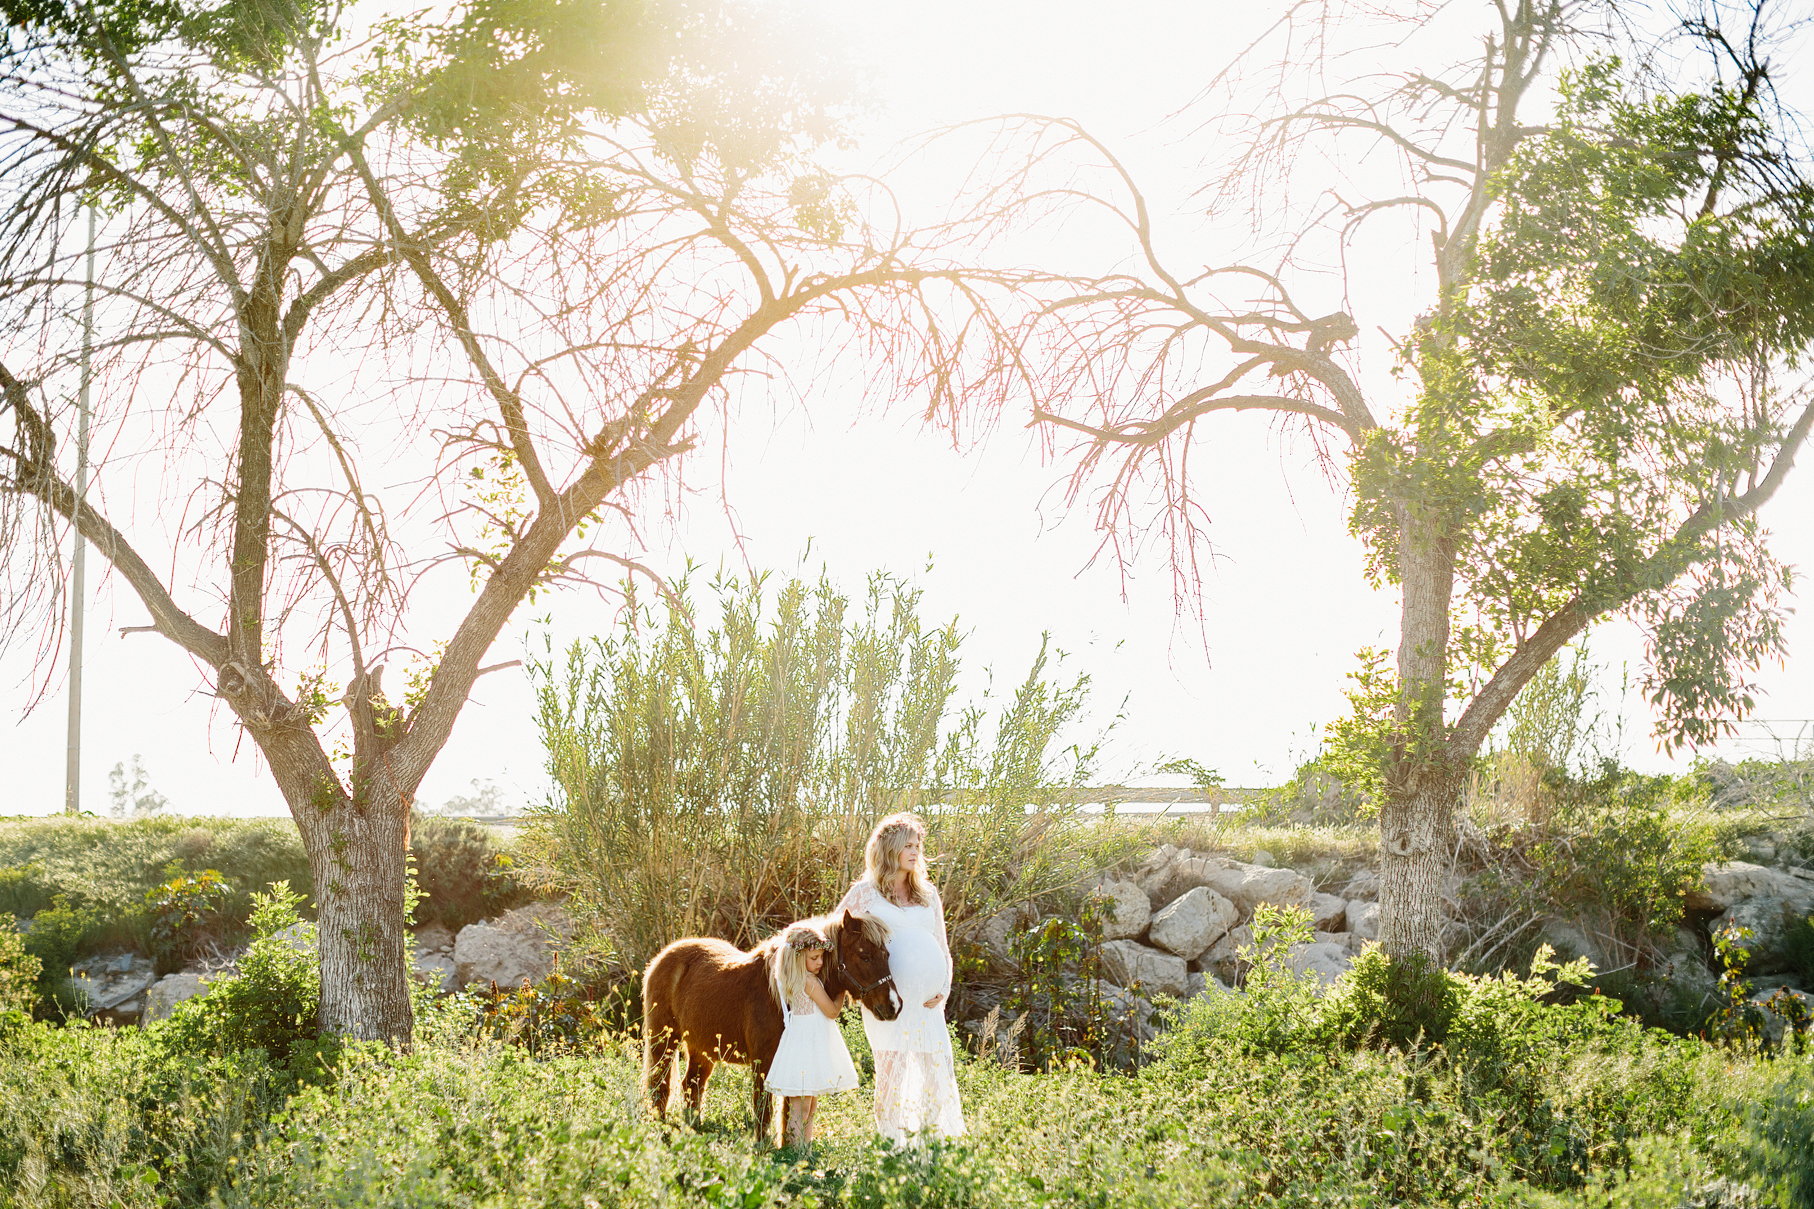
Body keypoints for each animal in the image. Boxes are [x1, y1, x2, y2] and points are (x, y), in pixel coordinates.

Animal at [645, 907, 899, 1132]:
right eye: (864, 956)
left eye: (886, 955)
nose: (894, 1006)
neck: (779, 994)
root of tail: (663, 957)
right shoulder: (763, 1064)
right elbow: (764, 1110)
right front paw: (762, 1149)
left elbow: (788, 1116)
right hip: (664, 1042)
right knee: (660, 1085)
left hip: (701, 1048)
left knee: (692, 1086)